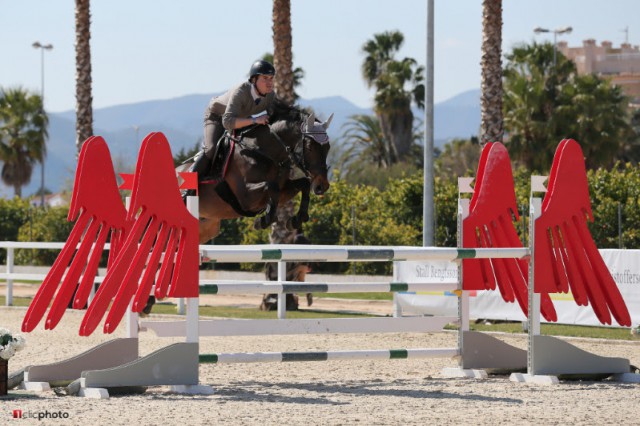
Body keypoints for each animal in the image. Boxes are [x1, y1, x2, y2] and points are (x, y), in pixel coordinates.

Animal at [184, 100, 332, 243]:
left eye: (328, 147)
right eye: (310, 147)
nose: (322, 186)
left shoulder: (283, 190)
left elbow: (303, 184)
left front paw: (296, 220)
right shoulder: (245, 197)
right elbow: (271, 187)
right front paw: (263, 221)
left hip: (207, 226)